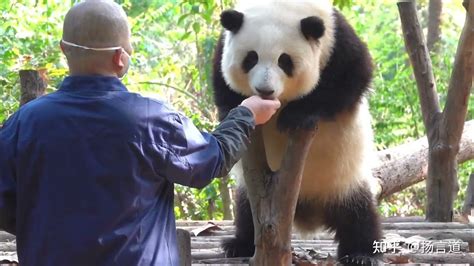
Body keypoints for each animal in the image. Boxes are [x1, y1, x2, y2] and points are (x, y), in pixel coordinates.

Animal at [213, 0, 384, 264]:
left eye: (285, 60)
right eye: (251, 58)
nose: (265, 90)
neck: (282, 6)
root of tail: (307, 211)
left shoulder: (336, 39)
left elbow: (352, 76)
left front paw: (295, 116)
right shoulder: (225, 44)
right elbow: (222, 81)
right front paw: (232, 107)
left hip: (344, 179)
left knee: (358, 214)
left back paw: (361, 253)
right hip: (255, 190)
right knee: (247, 212)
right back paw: (238, 244)